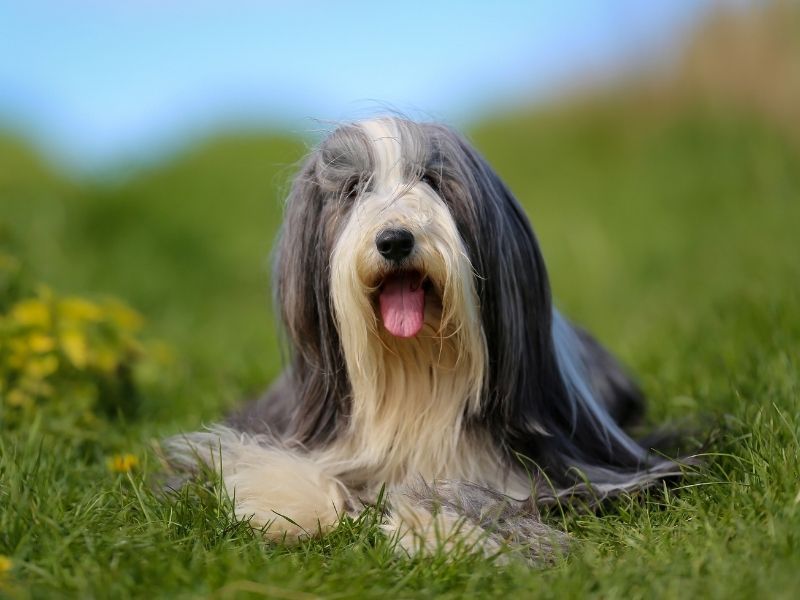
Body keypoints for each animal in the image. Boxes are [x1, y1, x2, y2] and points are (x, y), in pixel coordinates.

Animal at [167, 118, 680, 564]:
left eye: (432, 179)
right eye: (353, 189)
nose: (395, 240)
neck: (417, 373)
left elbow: (490, 497)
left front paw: (431, 526)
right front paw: (292, 505)